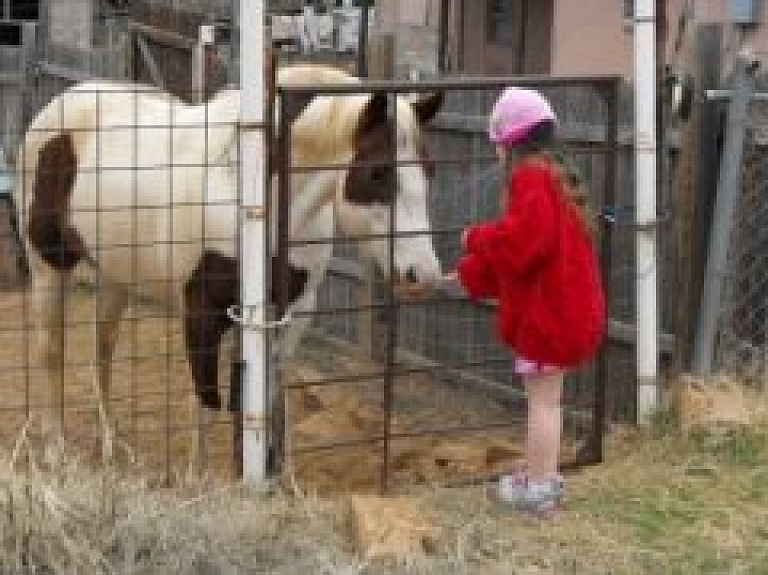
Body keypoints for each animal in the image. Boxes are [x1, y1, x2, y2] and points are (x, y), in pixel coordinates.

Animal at [13, 64, 444, 460]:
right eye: (378, 172)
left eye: (430, 169)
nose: (423, 275)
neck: (251, 194)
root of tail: (56, 108)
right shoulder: (201, 312)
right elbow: (207, 401)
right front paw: (200, 477)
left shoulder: (291, 311)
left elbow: (266, 394)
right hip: (47, 265)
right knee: (51, 350)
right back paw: (56, 449)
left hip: (116, 275)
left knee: (102, 351)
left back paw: (110, 445)